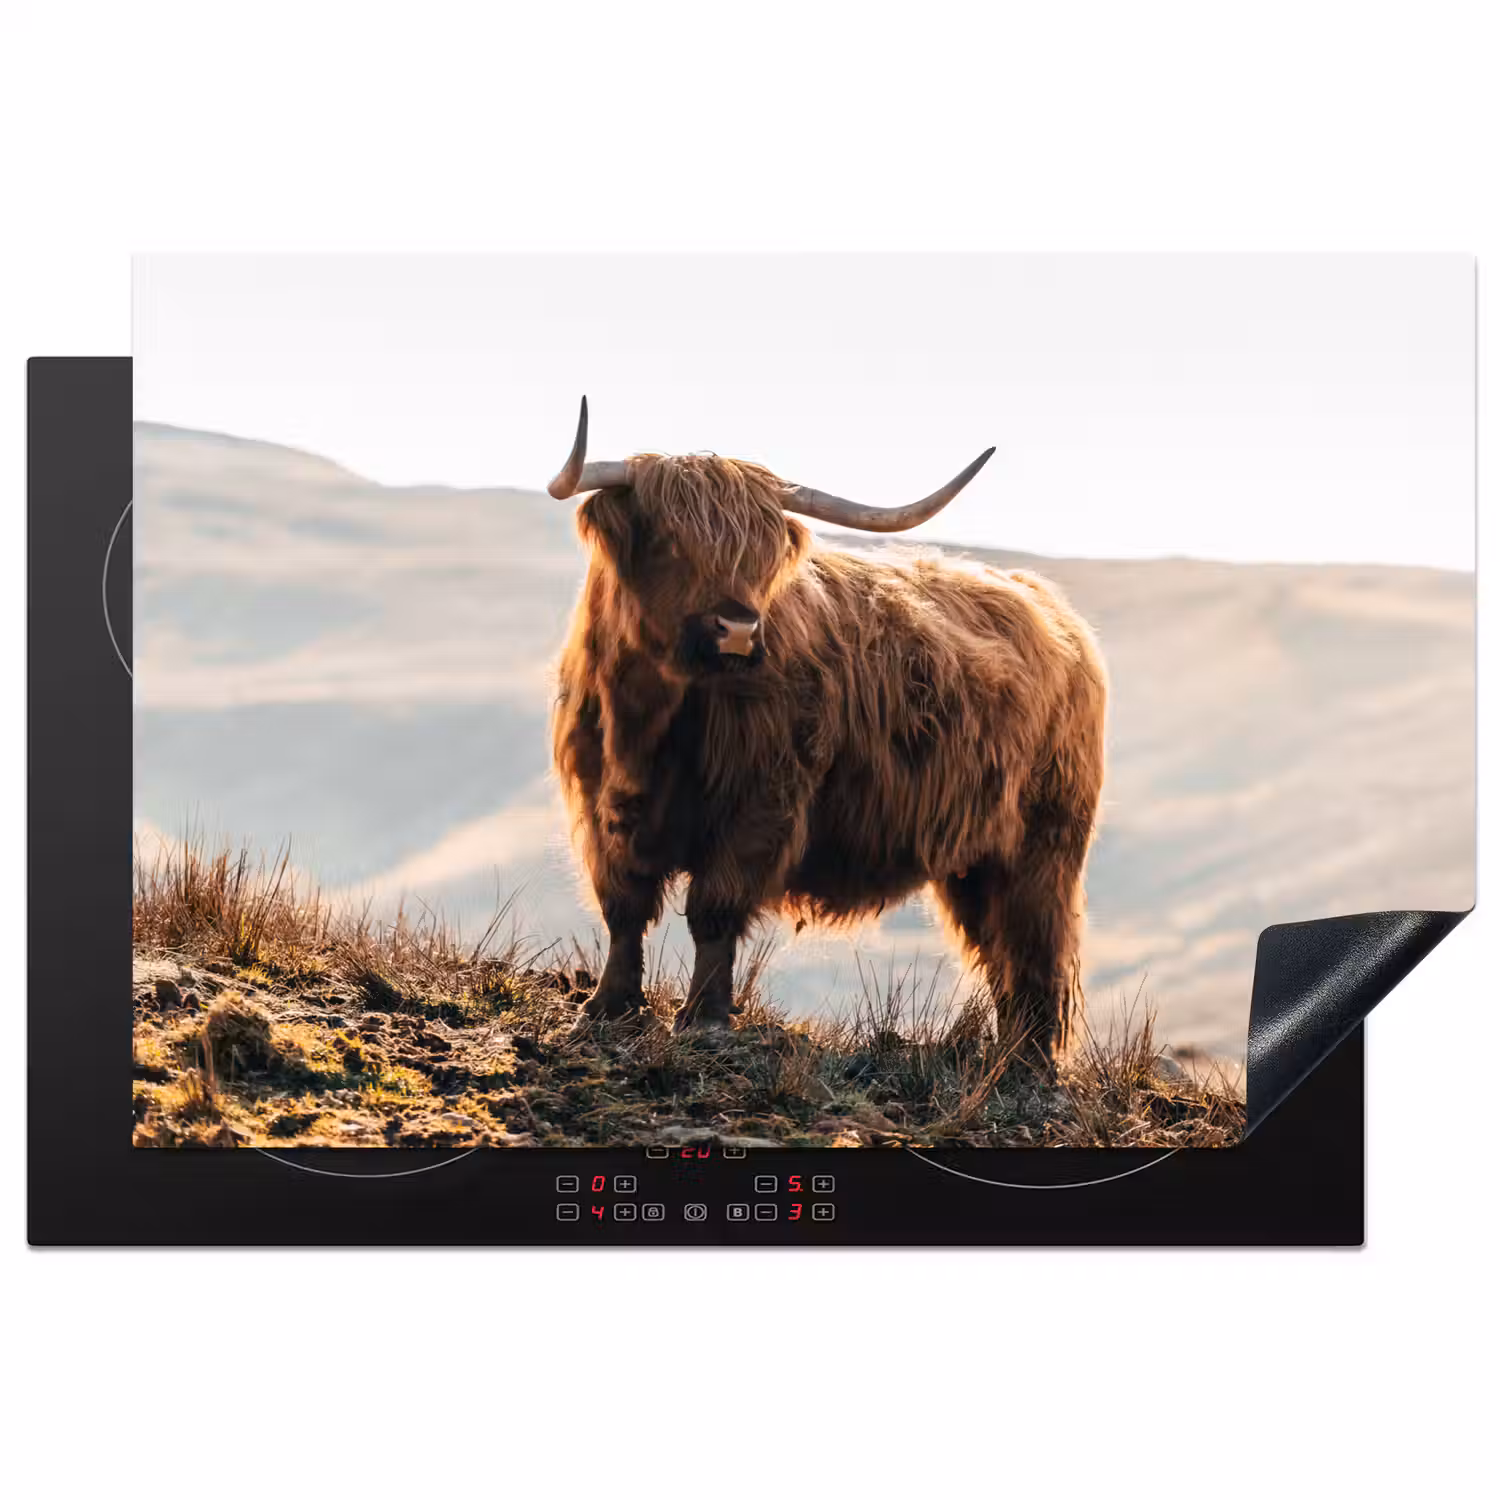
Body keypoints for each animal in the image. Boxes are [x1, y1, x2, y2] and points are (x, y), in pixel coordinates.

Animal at [547, 397, 1107, 1071]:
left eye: (762, 555)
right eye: (670, 541)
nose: (738, 629)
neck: (651, 720)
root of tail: (1051, 608)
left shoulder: (761, 804)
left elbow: (713, 909)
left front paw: (704, 1018)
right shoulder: (600, 802)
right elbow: (624, 905)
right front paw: (609, 1006)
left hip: (1043, 844)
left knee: (1034, 946)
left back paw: (1026, 1064)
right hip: (975, 860)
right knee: (999, 949)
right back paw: (1005, 1056)